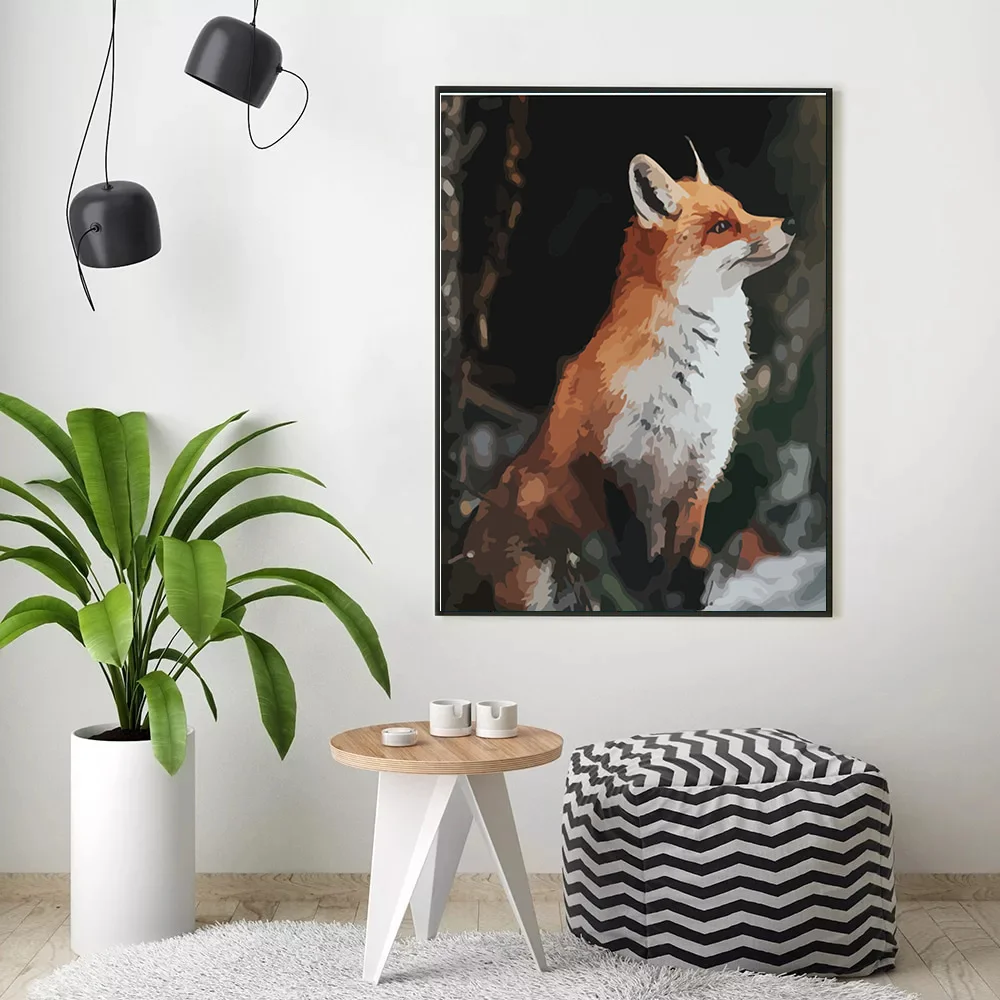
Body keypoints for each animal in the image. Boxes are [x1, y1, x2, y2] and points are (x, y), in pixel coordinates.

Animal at [458, 140, 795, 611]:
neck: (689, 380)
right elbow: (633, 575)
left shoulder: (697, 476)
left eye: (742, 209)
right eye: (721, 226)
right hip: (534, 561)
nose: (791, 222)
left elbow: (676, 565)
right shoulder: (617, 464)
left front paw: (676, 603)